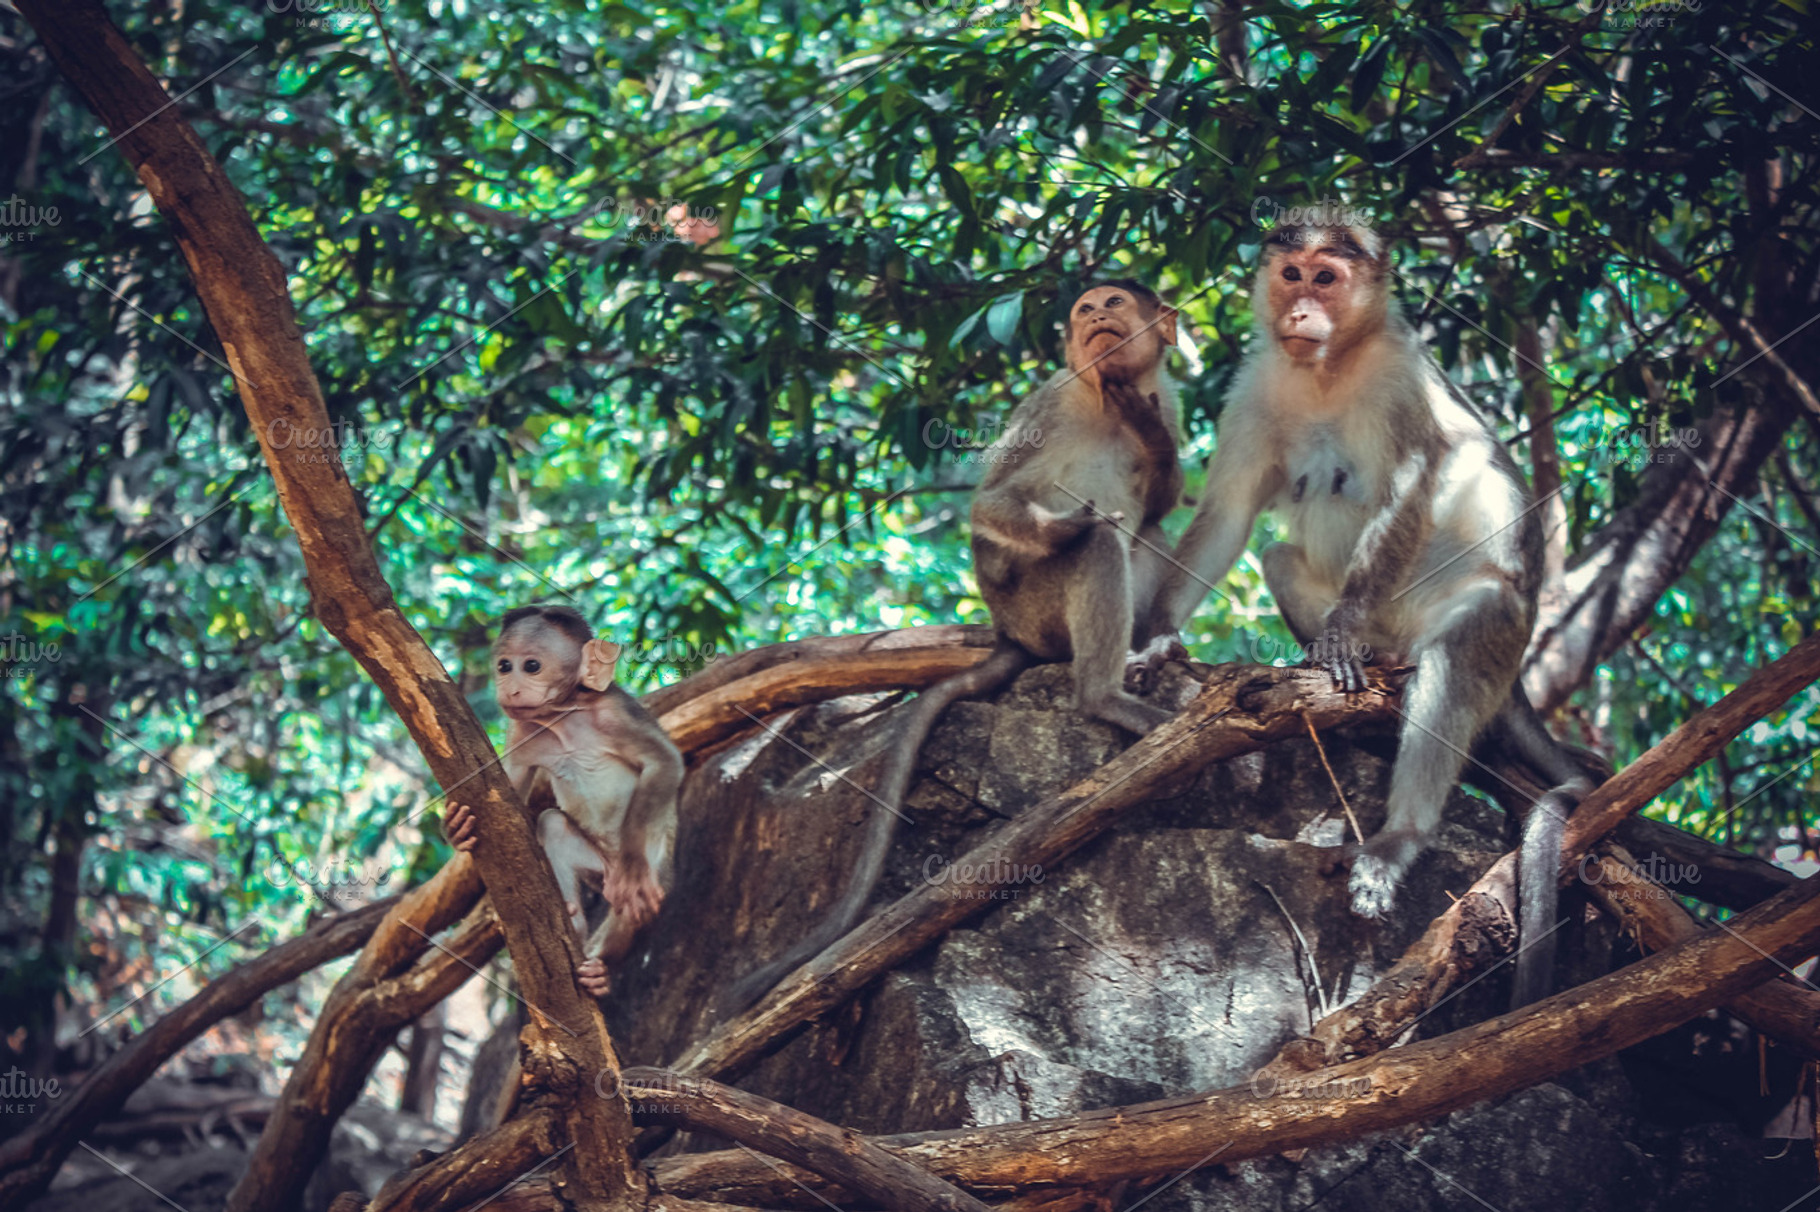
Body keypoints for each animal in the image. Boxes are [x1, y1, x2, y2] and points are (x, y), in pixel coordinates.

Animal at [446, 605, 684, 998]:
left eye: (531, 666)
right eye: (504, 666)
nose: (509, 687)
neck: (563, 717)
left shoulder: (615, 713)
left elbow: (664, 761)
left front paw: (633, 867)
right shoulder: (522, 731)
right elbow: (504, 790)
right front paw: (457, 829)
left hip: (656, 872)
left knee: (634, 906)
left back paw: (601, 968)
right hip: (596, 867)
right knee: (554, 825)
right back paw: (573, 919)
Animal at [724, 281, 1185, 1011]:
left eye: (1113, 301)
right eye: (1085, 309)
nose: (1093, 317)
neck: (1104, 394)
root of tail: (1011, 635)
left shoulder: (1166, 396)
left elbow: (1164, 498)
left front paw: (1146, 433)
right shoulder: (1052, 398)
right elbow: (991, 506)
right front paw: (1061, 526)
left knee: (1151, 534)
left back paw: (1148, 650)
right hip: (1037, 613)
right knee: (1100, 545)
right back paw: (1103, 693)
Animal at [1135, 226, 1594, 1007]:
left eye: (1328, 277)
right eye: (1292, 275)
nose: (1301, 311)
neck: (1329, 368)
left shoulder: (1400, 378)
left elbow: (1408, 485)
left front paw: (1343, 632)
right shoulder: (1256, 387)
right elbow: (1229, 512)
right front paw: (1162, 634)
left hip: (1493, 620)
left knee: (1460, 648)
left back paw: (1399, 834)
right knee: (1279, 557)